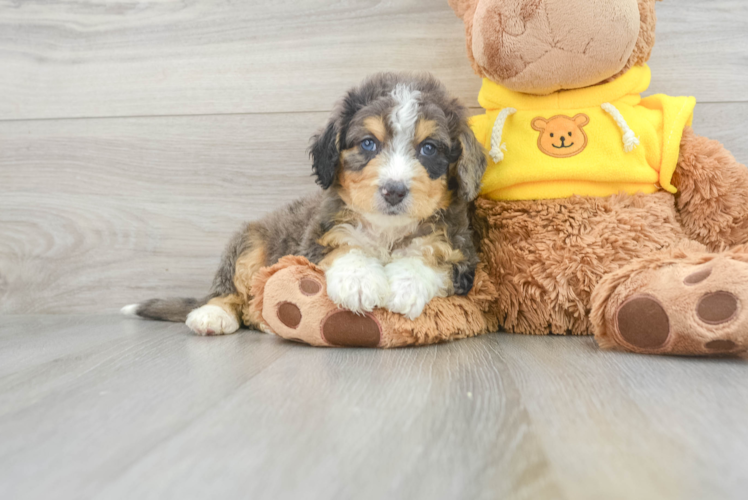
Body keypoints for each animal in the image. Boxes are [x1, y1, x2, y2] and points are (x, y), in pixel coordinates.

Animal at [122, 72, 486, 334]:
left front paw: (405, 285)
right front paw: (359, 281)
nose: (394, 191)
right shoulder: (319, 237)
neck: (387, 230)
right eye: (368, 143)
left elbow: (431, 259)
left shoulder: (460, 253)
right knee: (228, 290)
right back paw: (213, 315)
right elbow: (346, 249)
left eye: (429, 148)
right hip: (249, 243)